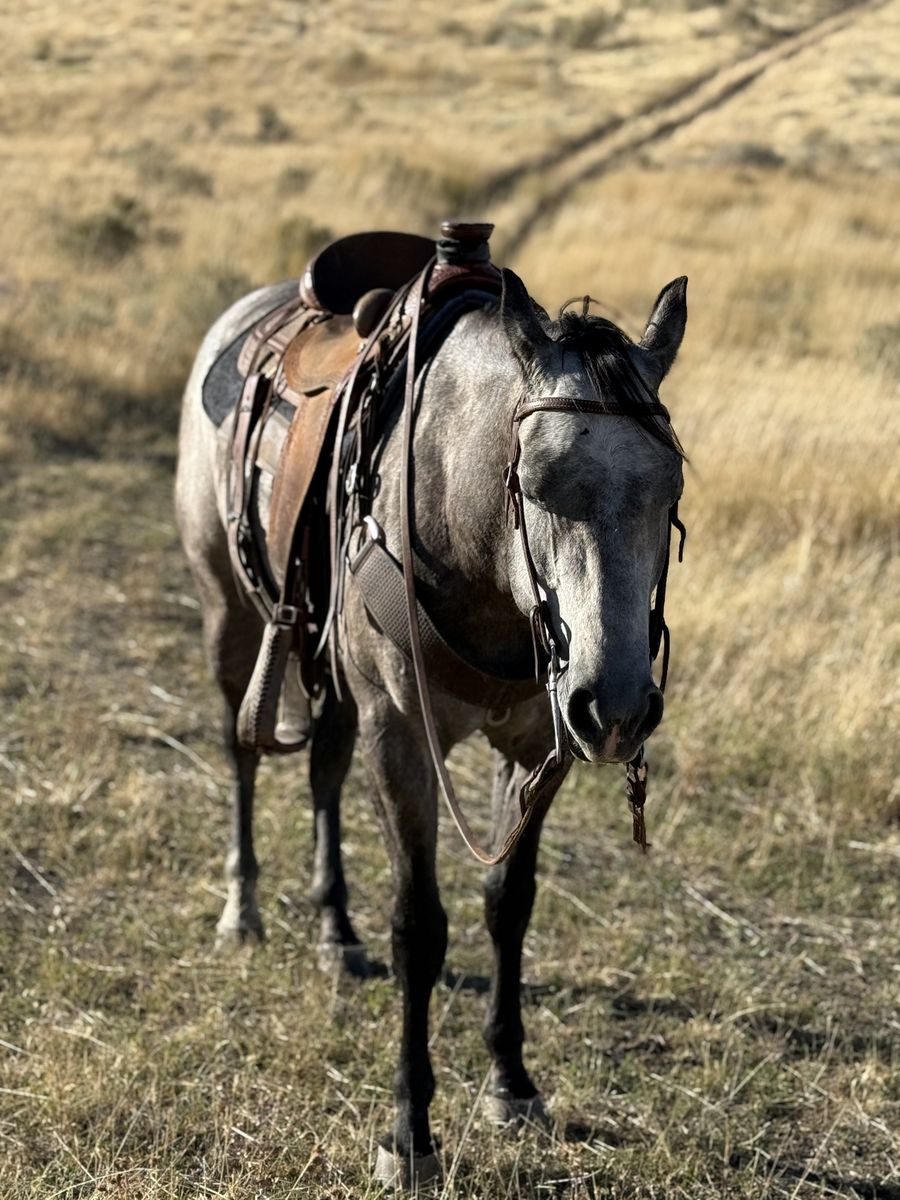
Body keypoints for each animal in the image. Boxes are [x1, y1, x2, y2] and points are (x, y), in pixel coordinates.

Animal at [175, 250, 687, 1188]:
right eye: (532, 482)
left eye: (669, 485)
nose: (619, 707)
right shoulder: (401, 735)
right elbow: (421, 925)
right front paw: (408, 1132)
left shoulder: (537, 743)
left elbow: (507, 902)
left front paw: (512, 1085)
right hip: (228, 613)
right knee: (242, 755)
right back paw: (244, 909)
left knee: (324, 769)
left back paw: (335, 929)